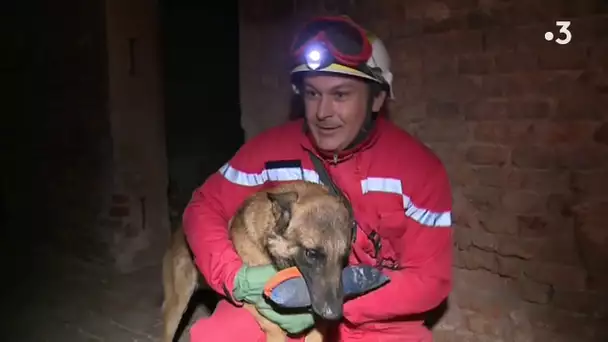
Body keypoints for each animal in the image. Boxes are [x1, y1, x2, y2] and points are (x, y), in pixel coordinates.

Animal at [162, 180, 354, 340]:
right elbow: (275, 328)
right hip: (177, 307)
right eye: (311, 253)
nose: (335, 315)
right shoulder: (247, 299)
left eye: (344, 256)